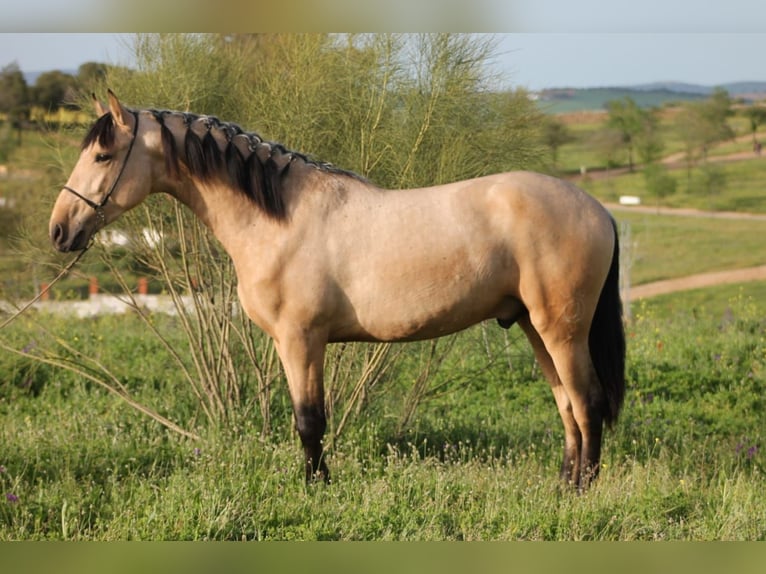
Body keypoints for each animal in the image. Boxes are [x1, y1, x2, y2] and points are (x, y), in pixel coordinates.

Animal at [48, 92, 628, 492]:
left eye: (103, 155)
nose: (60, 230)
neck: (280, 219)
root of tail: (597, 209)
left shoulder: (301, 339)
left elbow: (309, 420)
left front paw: (317, 487)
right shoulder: (294, 343)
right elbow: (307, 419)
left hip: (562, 329)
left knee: (588, 402)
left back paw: (582, 492)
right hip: (533, 326)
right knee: (567, 406)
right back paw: (562, 486)